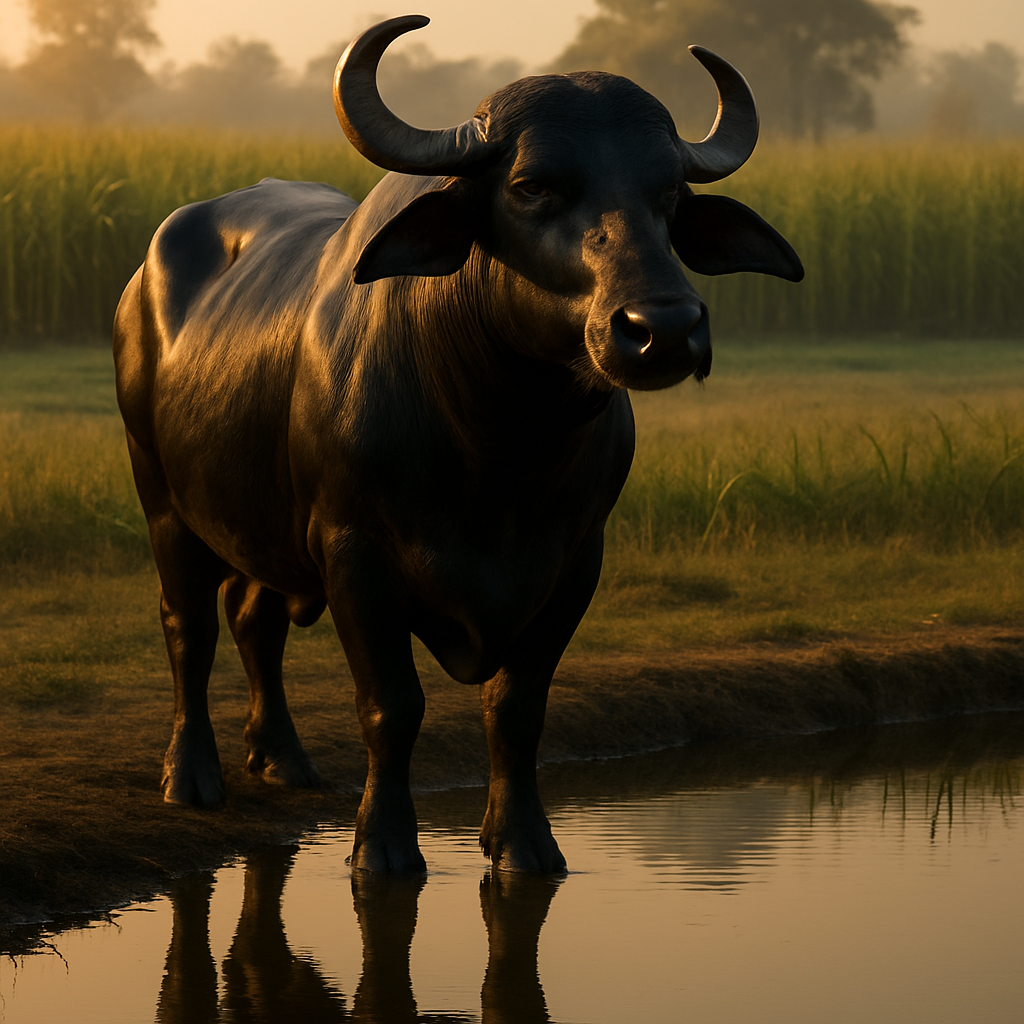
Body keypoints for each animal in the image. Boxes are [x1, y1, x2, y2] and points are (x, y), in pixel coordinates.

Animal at [113, 14, 802, 874]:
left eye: (669, 192)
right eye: (533, 185)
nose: (666, 330)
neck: (499, 448)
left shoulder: (575, 559)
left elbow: (518, 705)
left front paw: (523, 843)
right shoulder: (355, 553)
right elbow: (391, 705)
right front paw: (382, 845)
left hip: (261, 519)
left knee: (253, 617)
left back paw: (284, 759)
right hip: (162, 498)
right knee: (189, 625)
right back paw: (191, 775)